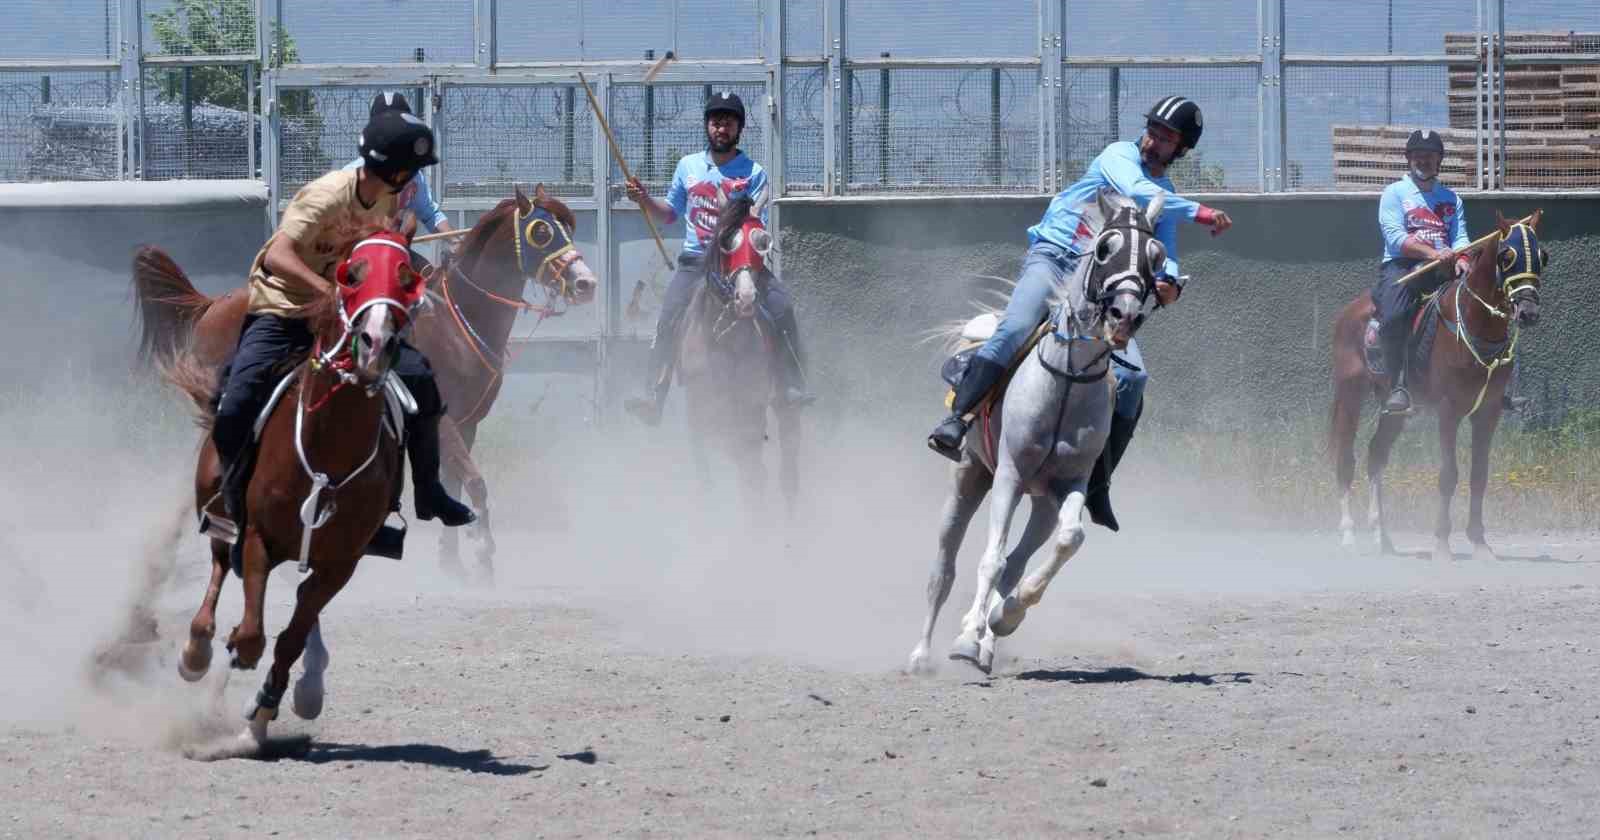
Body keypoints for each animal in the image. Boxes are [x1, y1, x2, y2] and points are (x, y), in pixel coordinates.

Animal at [131, 181, 595, 582]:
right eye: (541, 232)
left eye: (568, 229)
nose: (586, 283)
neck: (456, 322)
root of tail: (210, 304)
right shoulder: (443, 421)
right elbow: (477, 484)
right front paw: (483, 557)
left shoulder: (467, 425)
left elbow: (457, 485)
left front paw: (452, 562)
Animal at [166, 212, 435, 742]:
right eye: (351, 274)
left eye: (407, 277)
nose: (376, 345)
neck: (327, 446)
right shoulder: (257, 537)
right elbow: (252, 633)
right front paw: (230, 653)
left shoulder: (341, 561)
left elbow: (289, 636)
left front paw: (263, 708)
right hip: (217, 502)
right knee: (218, 563)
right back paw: (197, 649)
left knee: (301, 608)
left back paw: (307, 684)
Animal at [675, 191, 800, 512]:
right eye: (726, 239)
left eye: (762, 241)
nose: (745, 298)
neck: (723, 341)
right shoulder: (697, 411)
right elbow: (706, 475)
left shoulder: (750, 407)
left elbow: (752, 475)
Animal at [915, 189, 1164, 675]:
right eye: (1104, 248)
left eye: (1155, 256)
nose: (1123, 315)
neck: (1066, 382)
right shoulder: (1009, 474)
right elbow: (990, 559)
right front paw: (966, 638)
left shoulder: (1072, 483)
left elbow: (1068, 541)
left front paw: (1002, 618)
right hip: (970, 476)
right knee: (944, 568)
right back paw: (921, 654)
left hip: (1042, 505)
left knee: (1017, 561)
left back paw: (987, 639)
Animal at [1324, 211, 1548, 563]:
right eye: (1506, 256)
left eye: (1542, 256)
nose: (1528, 312)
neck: (1474, 323)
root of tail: (1349, 311)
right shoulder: (1448, 410)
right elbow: (1448, 475)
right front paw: (1441, 543)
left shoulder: (1487, 413)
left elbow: (1479, 475)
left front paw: (1479, 542)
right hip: (1350, 394)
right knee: (1346, 458)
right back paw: (1348, 534)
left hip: (1395, 411)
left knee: (1376, 455)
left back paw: (1382, 537)